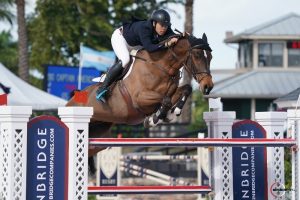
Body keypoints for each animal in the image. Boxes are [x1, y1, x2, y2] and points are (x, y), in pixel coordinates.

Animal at [66, 32, 213, 157]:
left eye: (210, 57)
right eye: (197, 55)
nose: (208, 86)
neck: (162, 67)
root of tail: (69, 103)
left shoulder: (172, 91)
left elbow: (185, 89)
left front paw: (171, 113)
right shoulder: (139, 99)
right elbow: (166, 100)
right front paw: (154, 119)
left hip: (99, 133)